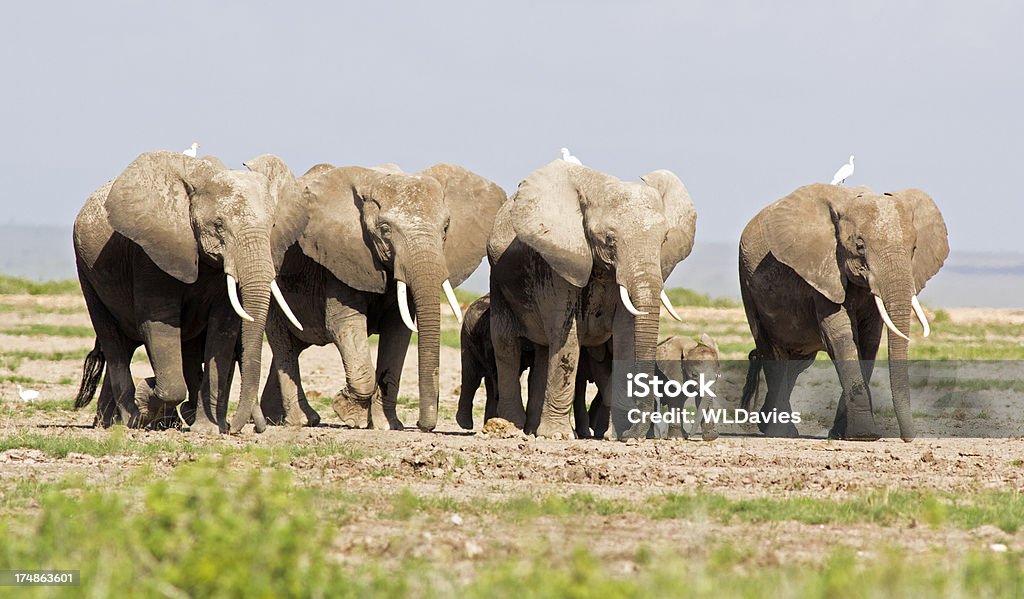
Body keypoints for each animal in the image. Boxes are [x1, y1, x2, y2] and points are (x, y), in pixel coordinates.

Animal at [74, 148, 301, 430]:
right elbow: (160, 322)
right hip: (87, 271)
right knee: (112, 340)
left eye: (272, 226)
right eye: (218, 225)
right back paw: (131, 420)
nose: (236, 428)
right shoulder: (151, 254)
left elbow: (222, 328)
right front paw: (148, 394)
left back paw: (115, 423)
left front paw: (208, 429)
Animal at [244, 158, 507, 430]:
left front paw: (388, 426)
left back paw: (277, 419)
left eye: (446, 227)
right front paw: (350, 415)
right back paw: (303, 421)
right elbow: (344, 324)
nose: (423, 425)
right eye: (385, 229)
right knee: (283, 344)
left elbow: (398, 331)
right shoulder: (340, 257)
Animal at [487, 160, 696, 436]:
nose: (631, 436)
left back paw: (532, 428)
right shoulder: (560, 261)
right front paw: (558, 435)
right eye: (609, 240)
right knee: (506, 344)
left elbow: (625, 334)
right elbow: (567, 336)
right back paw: (513, 426)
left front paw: (616, 435)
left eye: (663, 241)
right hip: (498, 280)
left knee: (544, 350)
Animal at [737, 182, 950, 438]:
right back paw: (780, 432)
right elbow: (840, 335)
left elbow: (869, 341)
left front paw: (843, 434)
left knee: (797, 363)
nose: (908, 438)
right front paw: (864, 436)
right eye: (859, 246)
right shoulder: (823, 270)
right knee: (773, 355)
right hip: (748, 284)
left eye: (914, 248)